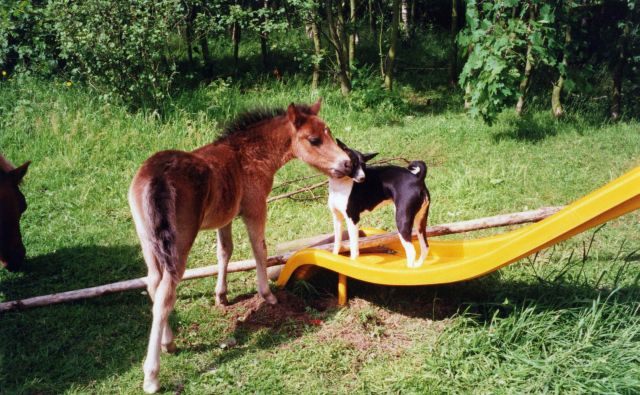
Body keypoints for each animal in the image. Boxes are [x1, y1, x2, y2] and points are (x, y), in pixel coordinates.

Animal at [129, 100, 350, 392]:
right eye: (314, 139)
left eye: (329, 133)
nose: (347, 163)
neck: (248, 155)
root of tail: (157, 178)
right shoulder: (255, 209)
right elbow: (260, 249)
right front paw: (268, 295)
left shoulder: (225, 217)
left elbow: (225, 251)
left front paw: (221, 296)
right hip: (179, 242)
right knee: (166, 292)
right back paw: (153, 375)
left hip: (148, 240)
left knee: (153, 284)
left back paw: (169, 341)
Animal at [330, 140, 430, 270]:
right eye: (352, 164)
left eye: (364, 165)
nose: (362, 178)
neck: (340, 185)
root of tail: (418, 179)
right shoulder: (337, 218)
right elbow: (337, 244)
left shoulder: (352, 219)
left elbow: (354, 249)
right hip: (420, 221)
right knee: (425, 247)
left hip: (402, 221)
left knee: (412, 252)